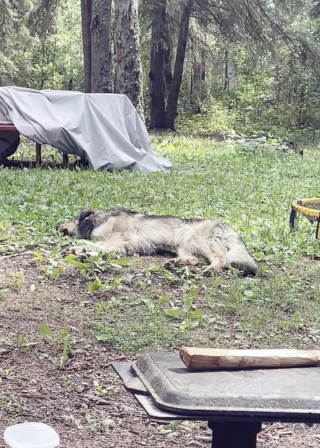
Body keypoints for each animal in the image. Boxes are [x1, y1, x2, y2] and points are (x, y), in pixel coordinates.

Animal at [60, 208, 258, 274]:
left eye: (72, 219)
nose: (60, 228)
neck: (101, 219)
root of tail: (229, 228)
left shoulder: (116, 239)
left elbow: (97, 245)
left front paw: (81, 251)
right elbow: (92, 245)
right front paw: (75, 250)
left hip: (200, 241)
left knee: (221, 259)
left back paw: (211, 269)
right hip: (185, 246)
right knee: (194, 259)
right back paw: (174, 263)